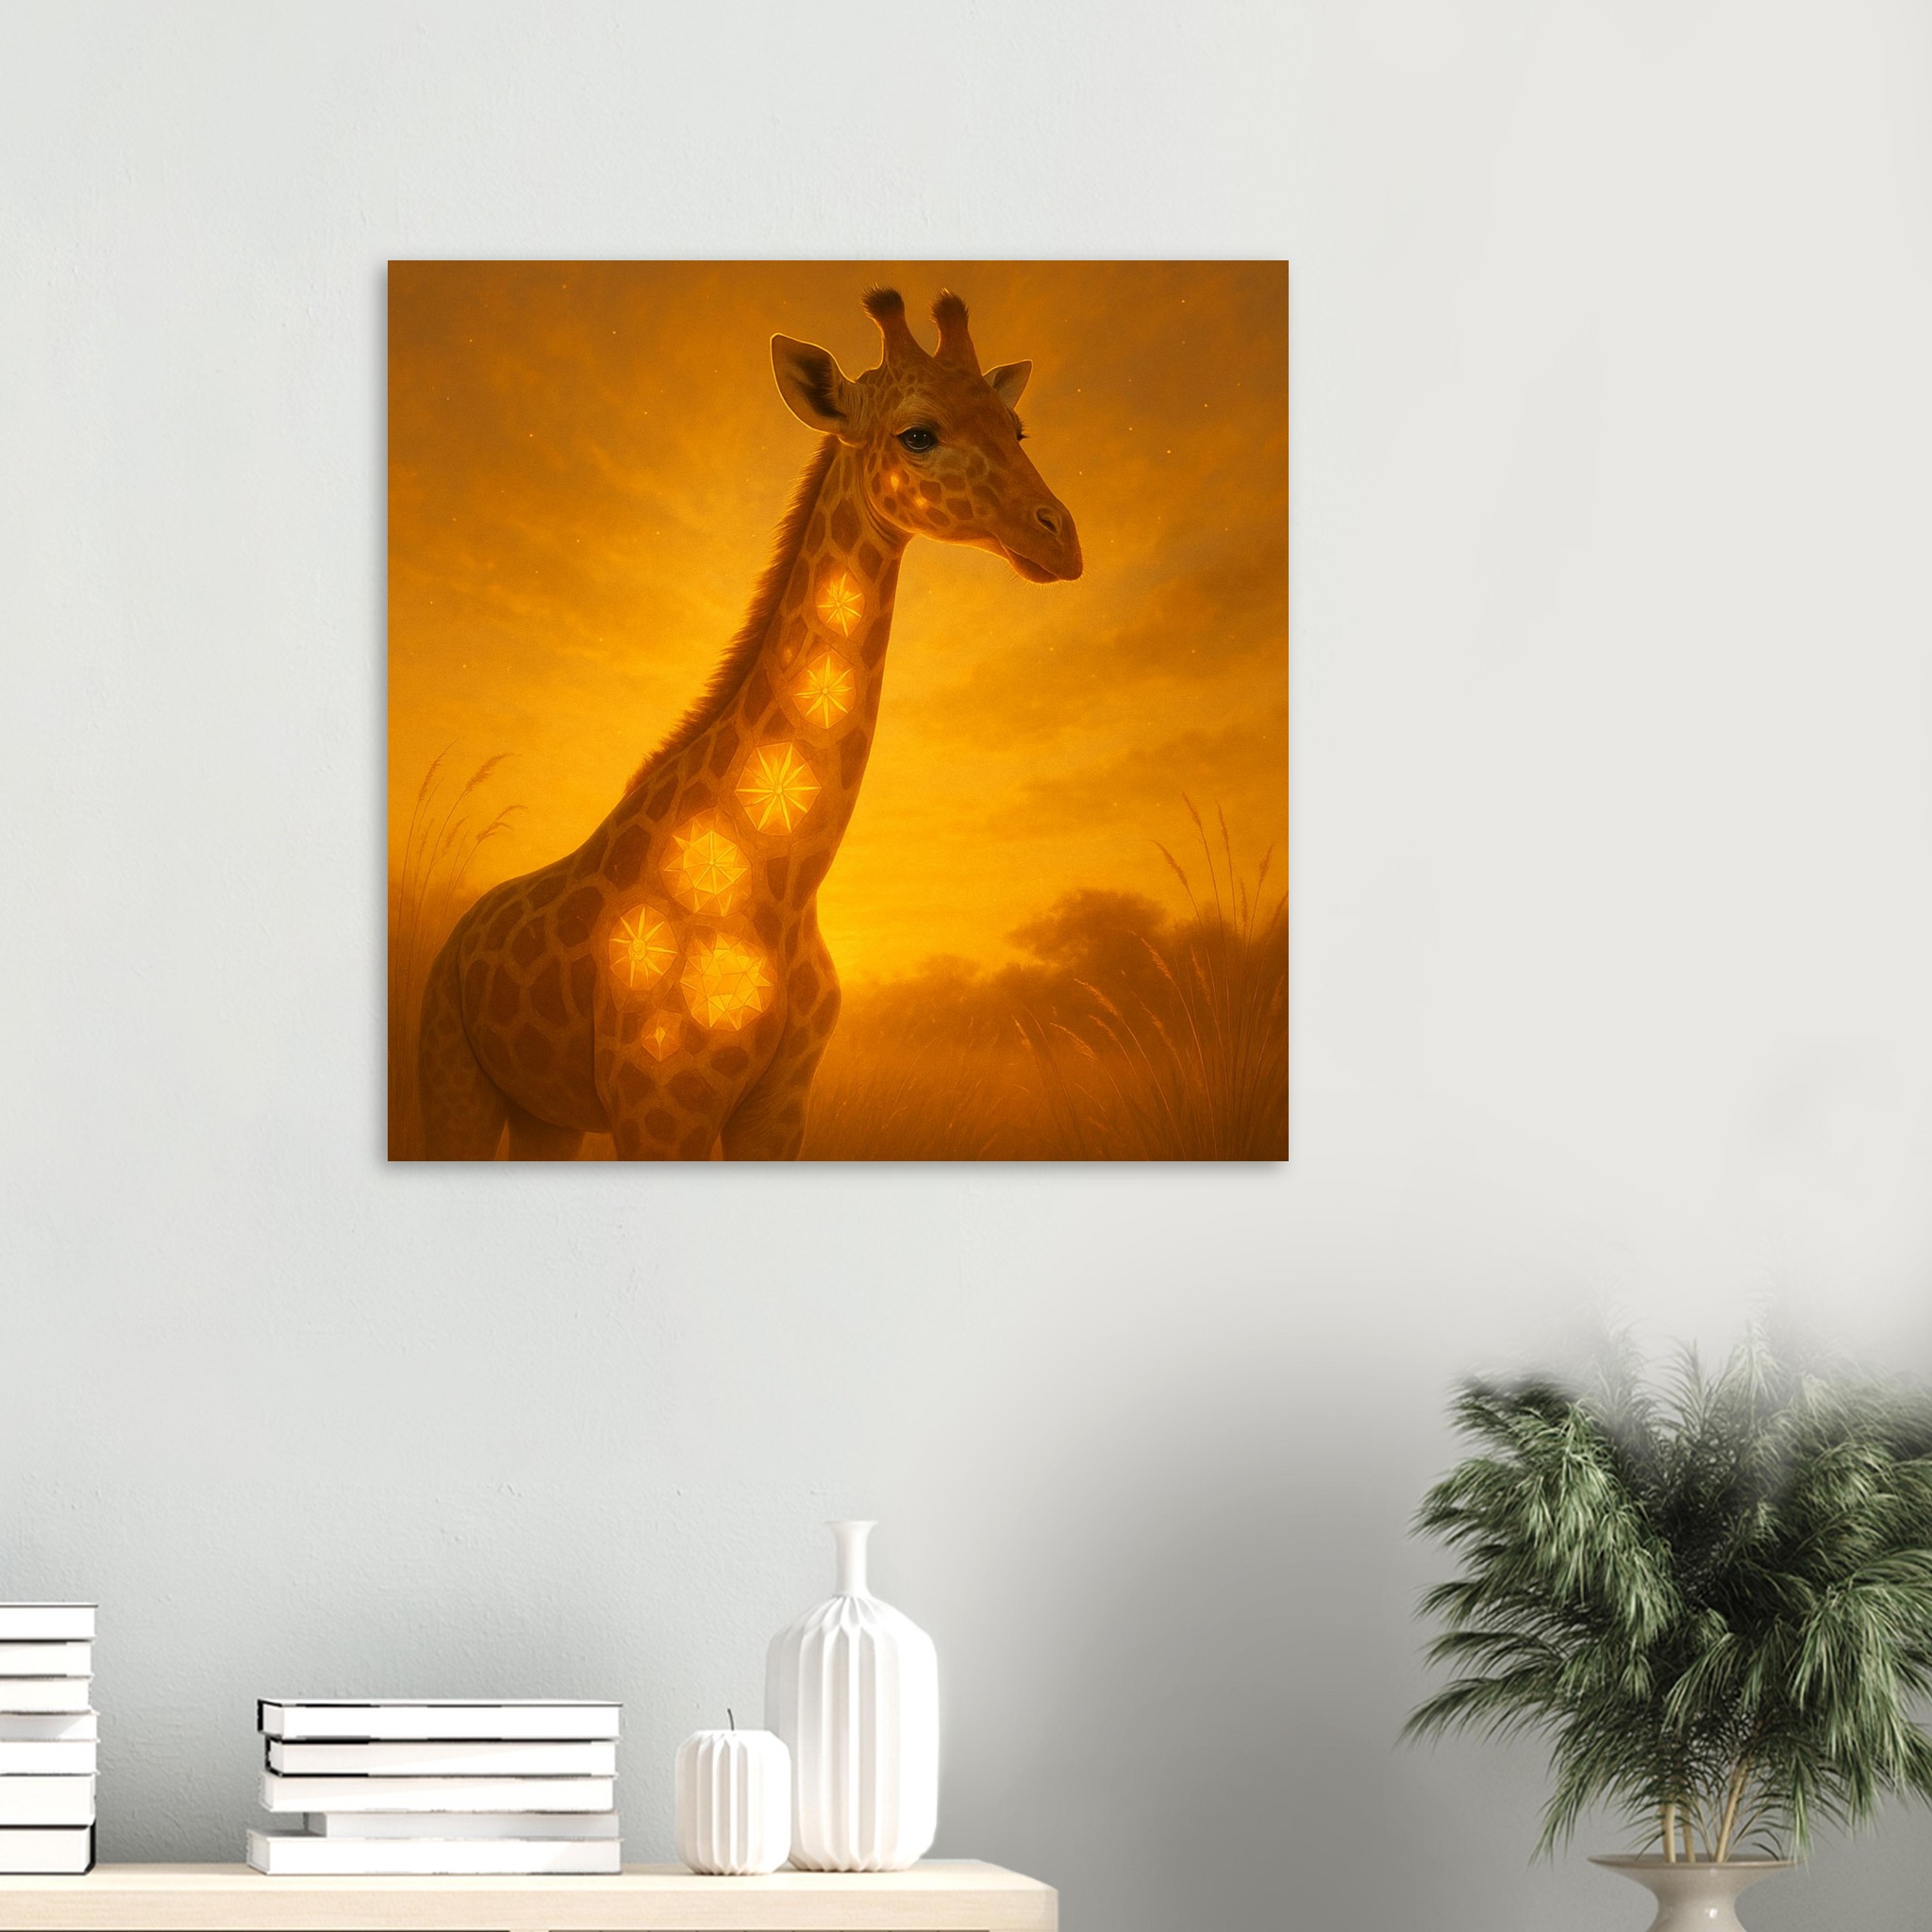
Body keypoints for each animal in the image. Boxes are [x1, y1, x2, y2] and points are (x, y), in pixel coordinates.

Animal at [416, 287, 1082, 1160]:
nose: (1060, 539)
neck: (783, 885)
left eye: (1017, 429)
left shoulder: (779, 1108)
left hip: (545, 1113)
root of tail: (456, 936)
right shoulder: (660, 1107)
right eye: (918, 434)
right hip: (454, 1076)